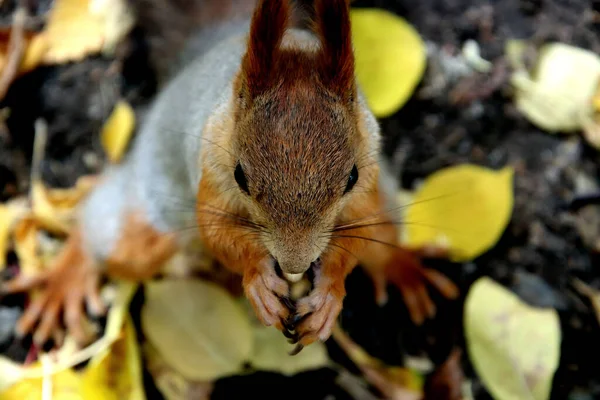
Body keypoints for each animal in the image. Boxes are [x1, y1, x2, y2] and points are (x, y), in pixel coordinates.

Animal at [2, 0, 458, 350]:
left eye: (349, 177)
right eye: (241, 176)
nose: (294, 267)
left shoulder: (368, 177)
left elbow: (357, 235)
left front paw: (329, 295)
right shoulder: (209, 169)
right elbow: (216, 231)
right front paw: (258, 279)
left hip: (388, 192)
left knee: (382, 234)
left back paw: (402, 266)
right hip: (151, 208)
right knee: (106, 222)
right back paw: (66, 279)